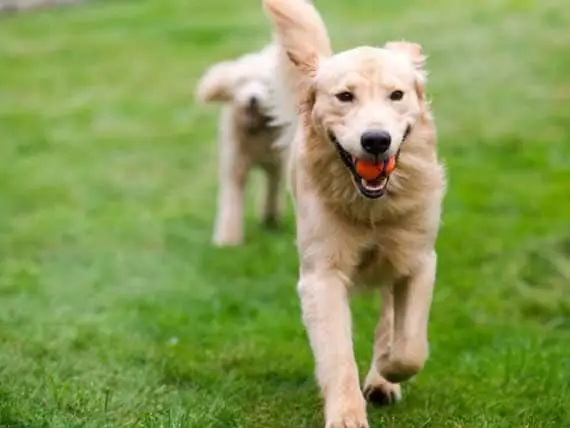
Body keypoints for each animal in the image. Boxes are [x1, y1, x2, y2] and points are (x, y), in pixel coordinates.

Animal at [195, 44, 284, 246]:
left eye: (266, 84)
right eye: (242, 82)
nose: (253, 99)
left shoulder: (277, 159)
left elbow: (274, 186)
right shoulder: (235, 163)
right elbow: (231, 198)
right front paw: (228, 240)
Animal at [264, 0, 446, 426]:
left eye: (396, 95)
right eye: (344, 96)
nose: (376, 140)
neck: (372, 207)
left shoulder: (419, 259)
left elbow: (411, 346)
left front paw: (389, 368)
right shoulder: (321, 275)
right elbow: (337, 356)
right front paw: (347, 414)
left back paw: (382, 378)